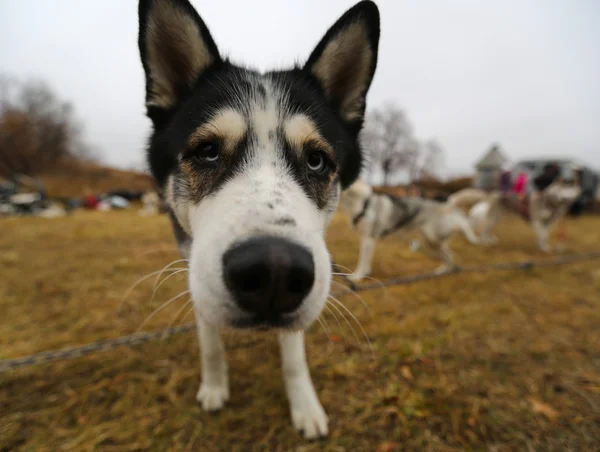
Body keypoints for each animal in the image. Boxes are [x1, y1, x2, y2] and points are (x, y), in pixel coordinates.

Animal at [138, 0, 378, 440]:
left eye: (316, 161)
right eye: (208, 151)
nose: (274, 273)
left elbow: (294, 355)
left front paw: (305, 407)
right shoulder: (193, 268)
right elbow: (210, 342)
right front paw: (215, 387)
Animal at [340, 179, 480, 278]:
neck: (362, 203)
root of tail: (449, 205)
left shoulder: (368, 239)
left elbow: (362, 261)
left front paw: (357, 276)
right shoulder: (367, 240)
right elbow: (366, 260)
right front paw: (366, 273)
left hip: (434, 239)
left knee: (450, 256)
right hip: (431, 242)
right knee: (448, 257)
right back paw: (441, 272)